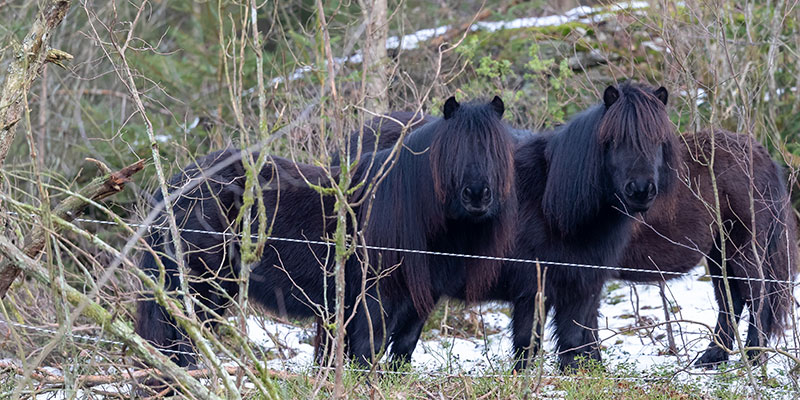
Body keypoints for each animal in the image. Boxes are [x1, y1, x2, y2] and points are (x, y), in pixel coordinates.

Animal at [134, 95, 516, 370]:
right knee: (185, 337)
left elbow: (402, 353)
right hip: (202, 286)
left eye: (497, 149)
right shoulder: (371, 299)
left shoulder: (418, 303)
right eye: (453, 149)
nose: (477, 195)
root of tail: (177, 184)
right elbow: (366, 351)